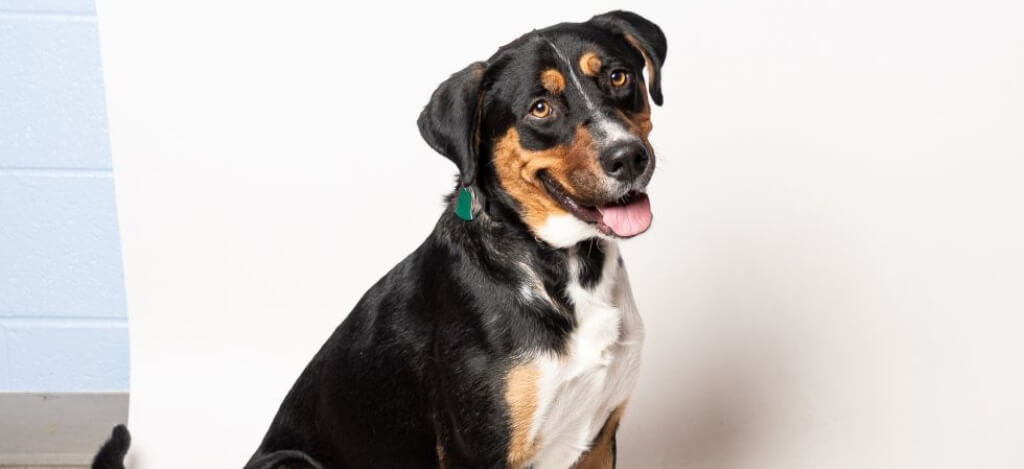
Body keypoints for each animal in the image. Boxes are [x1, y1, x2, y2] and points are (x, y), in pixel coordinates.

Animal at [94, 9, 663, 466]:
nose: (628, 157)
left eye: (618, 77)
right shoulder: (479, 449)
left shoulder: (601, 437)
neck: (562, 268)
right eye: (540, 107)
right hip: (293, 462)